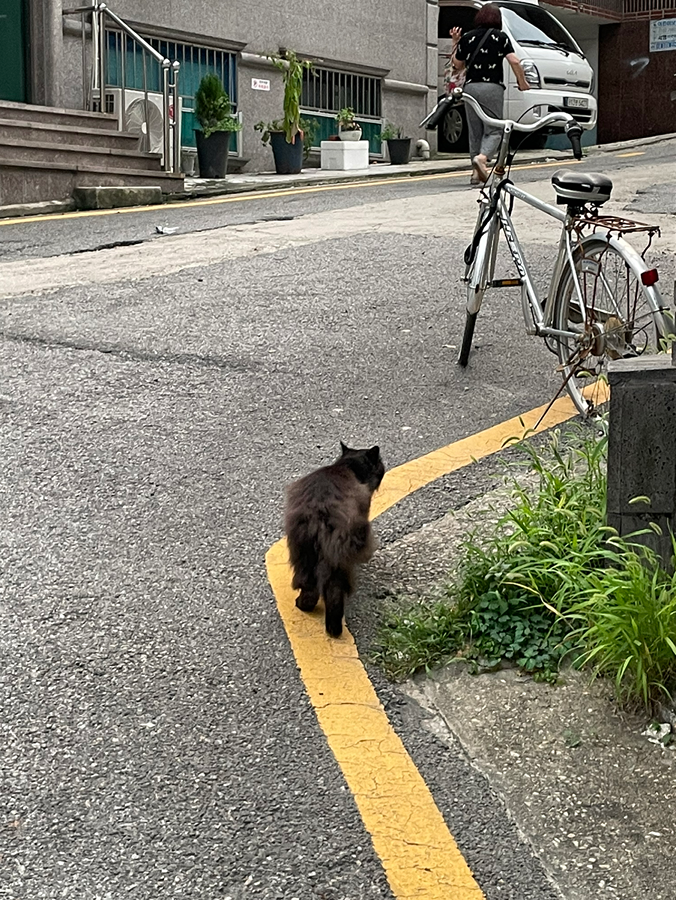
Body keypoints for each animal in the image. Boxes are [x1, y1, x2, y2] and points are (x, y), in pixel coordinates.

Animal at [284, 442, 386, 640]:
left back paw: (303, 605)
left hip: (303, 552)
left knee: (308, 585)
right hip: (336, 560)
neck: (347, 466)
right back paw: (334, 629)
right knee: (334, 592)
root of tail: (320, 510)